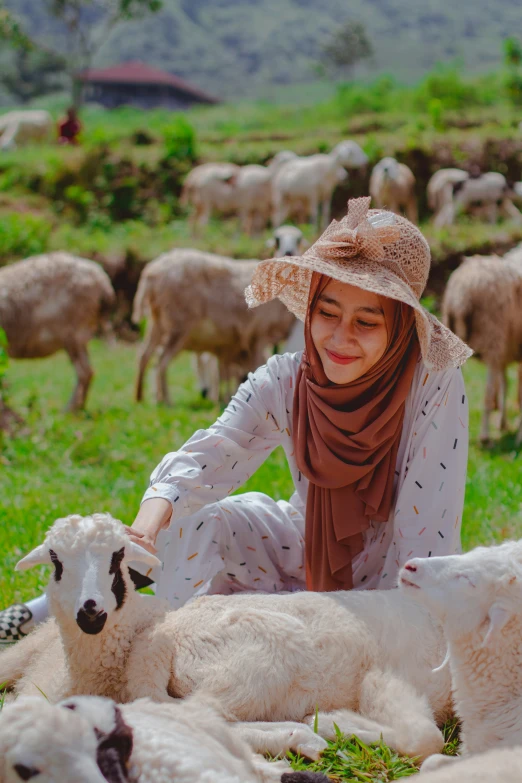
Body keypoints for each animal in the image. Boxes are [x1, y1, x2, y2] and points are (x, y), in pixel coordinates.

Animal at [0, 253, 115, 414]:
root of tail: (105, 285)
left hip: (74, 331)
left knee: (84, 372)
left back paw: (69, 411)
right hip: (81, 335)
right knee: (89, 371)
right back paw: (79, 408)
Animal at [0, 512, 450, 764]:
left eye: (118, 556)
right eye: (55, 561)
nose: (89, 610)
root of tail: (169, 633)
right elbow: (426, 739)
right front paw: (340, 722)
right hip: (258, 663)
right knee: (199, 715)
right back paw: (303, 733)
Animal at [130, 248, 294, 404]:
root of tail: (151, 274)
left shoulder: (227, 346)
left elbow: (223, 372)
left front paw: (223, 397)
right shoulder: (257, 335)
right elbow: (251, 367)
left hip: (157, 323)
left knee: (144, 355)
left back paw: (140, 397)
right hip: (177, 324)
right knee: (161, 362)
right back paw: (166, 400)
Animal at [438, 254, 520, 444]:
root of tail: (461, 296)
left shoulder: (505, 352)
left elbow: (505, 383)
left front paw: (503, 423)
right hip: (492, 339)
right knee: (487, 394)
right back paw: (485, 436)